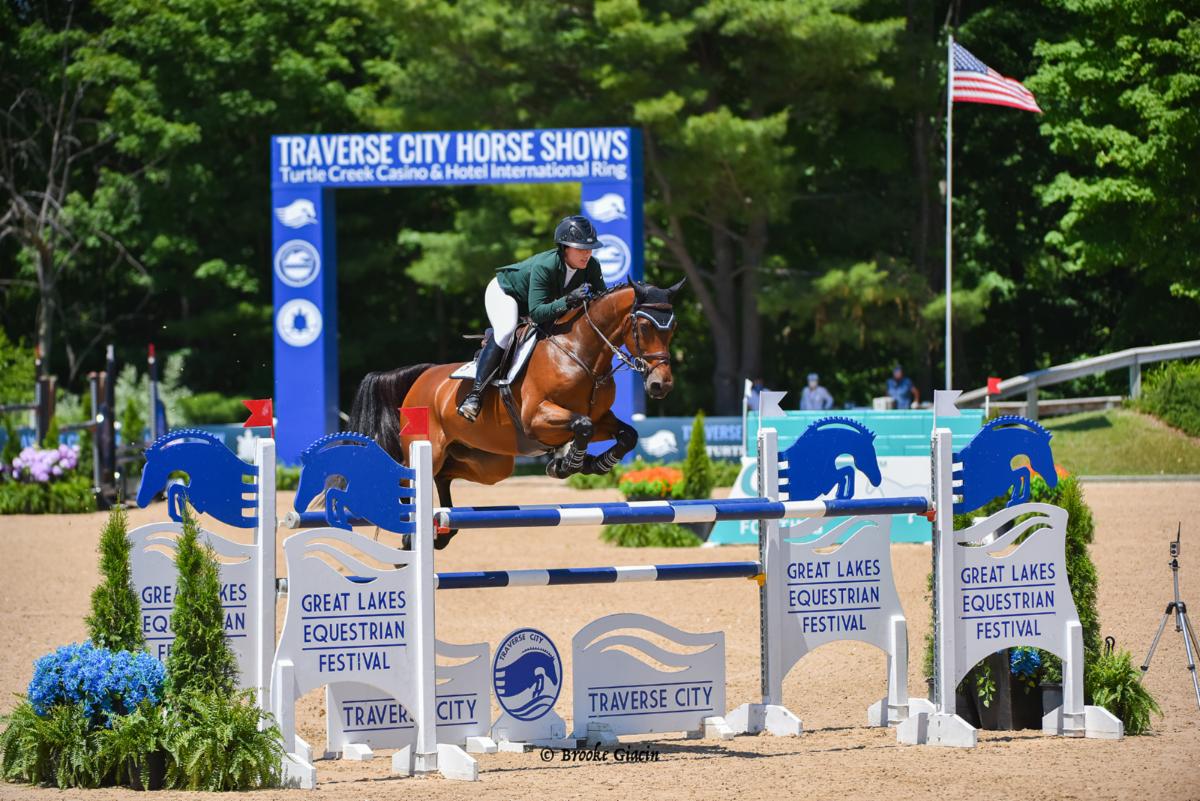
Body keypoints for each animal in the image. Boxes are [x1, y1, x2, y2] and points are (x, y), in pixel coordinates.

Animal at [348, 279, 684, 549]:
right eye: (644, 327)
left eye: (672, 328)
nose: (661, 385)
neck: (580, 355)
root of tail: (423, 375)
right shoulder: (537, 419)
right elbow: (582, 425)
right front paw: (566, 464)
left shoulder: (603, 420)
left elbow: (627, 435)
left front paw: (594, 463)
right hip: (429, 448)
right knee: (412, 478)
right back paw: (410, 537)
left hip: (489, 463)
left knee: (444, 475)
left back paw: (442, 531)